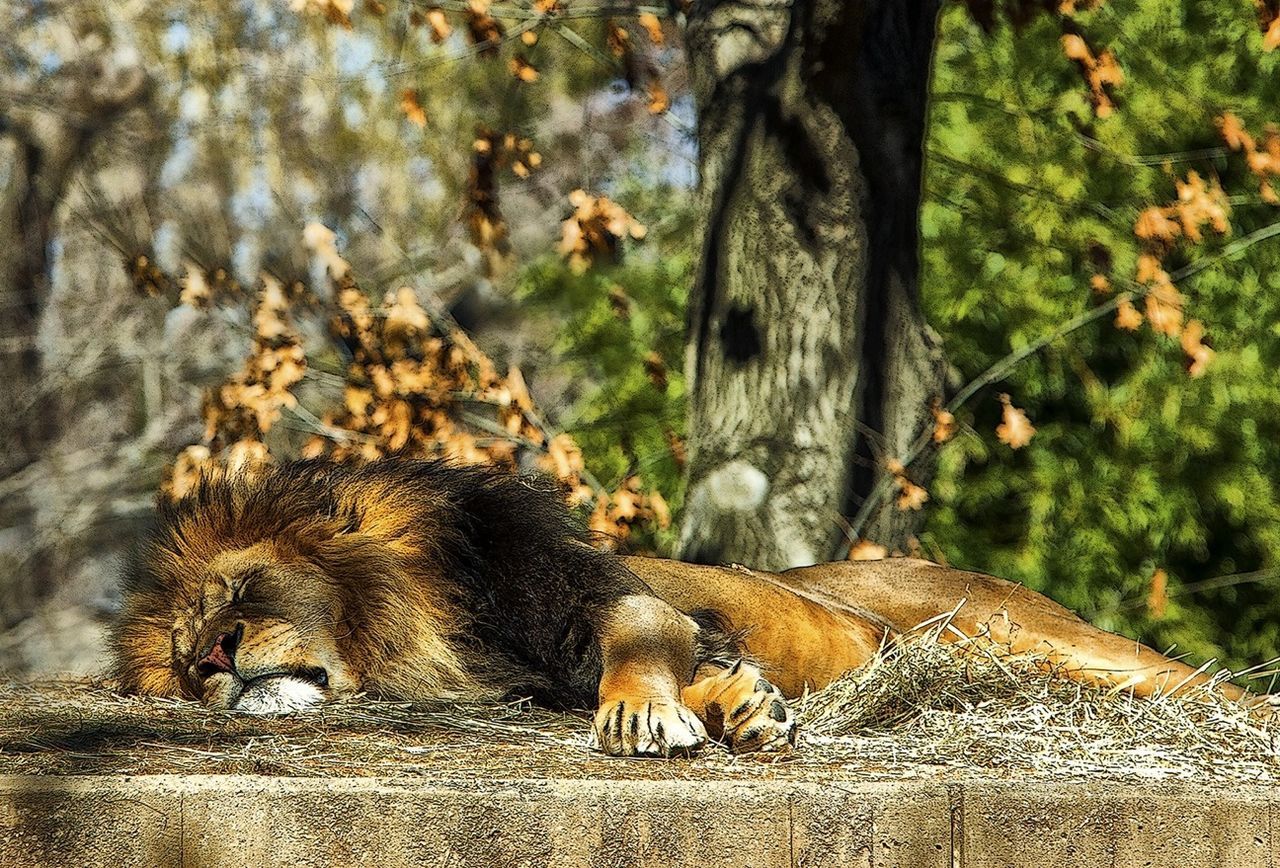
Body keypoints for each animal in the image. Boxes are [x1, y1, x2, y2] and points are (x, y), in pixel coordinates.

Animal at [115, 463, 1254, 752]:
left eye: (243, 592)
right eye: (180, 655)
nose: (215, 658)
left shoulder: (601, 600)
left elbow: (637, 655)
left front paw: (641, 714)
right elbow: (715, 675)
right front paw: (741, 707)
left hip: (1053, 644)